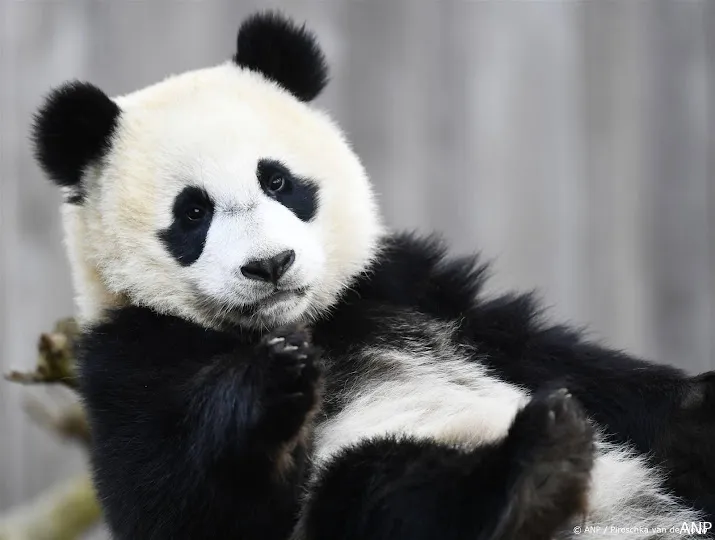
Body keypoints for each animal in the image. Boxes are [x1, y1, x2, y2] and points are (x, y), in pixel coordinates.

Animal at [32, 9, 715, 540]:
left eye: (277, 180)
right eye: (192, 213)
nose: (270, 265)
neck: (304, 322)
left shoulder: (405, 285)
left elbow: (555, 358)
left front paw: (695, 406)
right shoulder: (128, 359)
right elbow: (179, 503)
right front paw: (274, 382)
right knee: (379, 483)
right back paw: (533, 475)